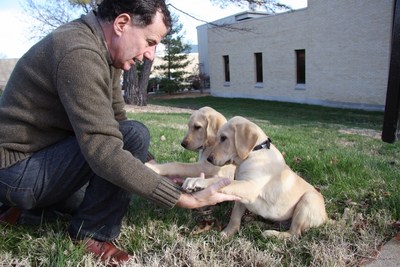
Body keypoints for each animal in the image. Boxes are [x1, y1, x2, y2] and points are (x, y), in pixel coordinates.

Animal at [183, 117, 326, 239]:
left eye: (224, 138)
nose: (209, 159)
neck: (254, 152)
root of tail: (326, 218)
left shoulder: (249, 187)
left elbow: (219, 180)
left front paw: (197, 181)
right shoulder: (241, 194)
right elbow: (234, 216)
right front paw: (228, 233)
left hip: (308, 199)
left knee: (294, 233)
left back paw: (272, 234)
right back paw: (257, 224)